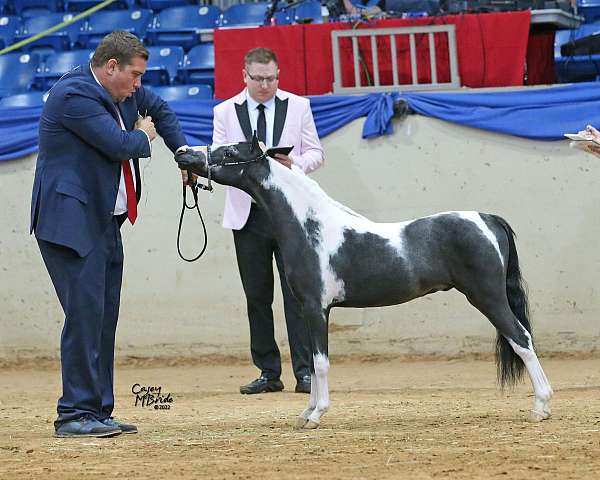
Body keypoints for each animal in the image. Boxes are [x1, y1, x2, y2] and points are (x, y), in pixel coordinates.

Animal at [176, 137, 556, 430]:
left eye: (229, 151)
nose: (182, 152)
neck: (309, 227)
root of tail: (487, 219)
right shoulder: (307, 310)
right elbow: (313, 362)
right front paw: (305, 413)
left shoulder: (316, 309)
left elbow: (320, 363)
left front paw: (316, 415)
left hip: (487, 297)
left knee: (522, 339)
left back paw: (541, 407)